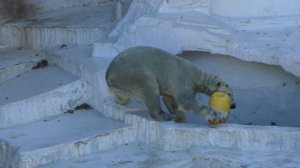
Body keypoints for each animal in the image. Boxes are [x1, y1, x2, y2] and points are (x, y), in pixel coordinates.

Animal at [106, 46, 236, 123]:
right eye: (230, 94)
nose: (234, 105)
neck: (198, 76)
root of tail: (109, 74)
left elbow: (170, 99)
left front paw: (179, 118)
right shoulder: (184, 77)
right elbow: (185, 101)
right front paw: (216, 115)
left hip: (121, 84)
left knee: (124, 94)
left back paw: (120, 100)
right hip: (135, 74)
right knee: (149, 90)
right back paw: (163, 116)